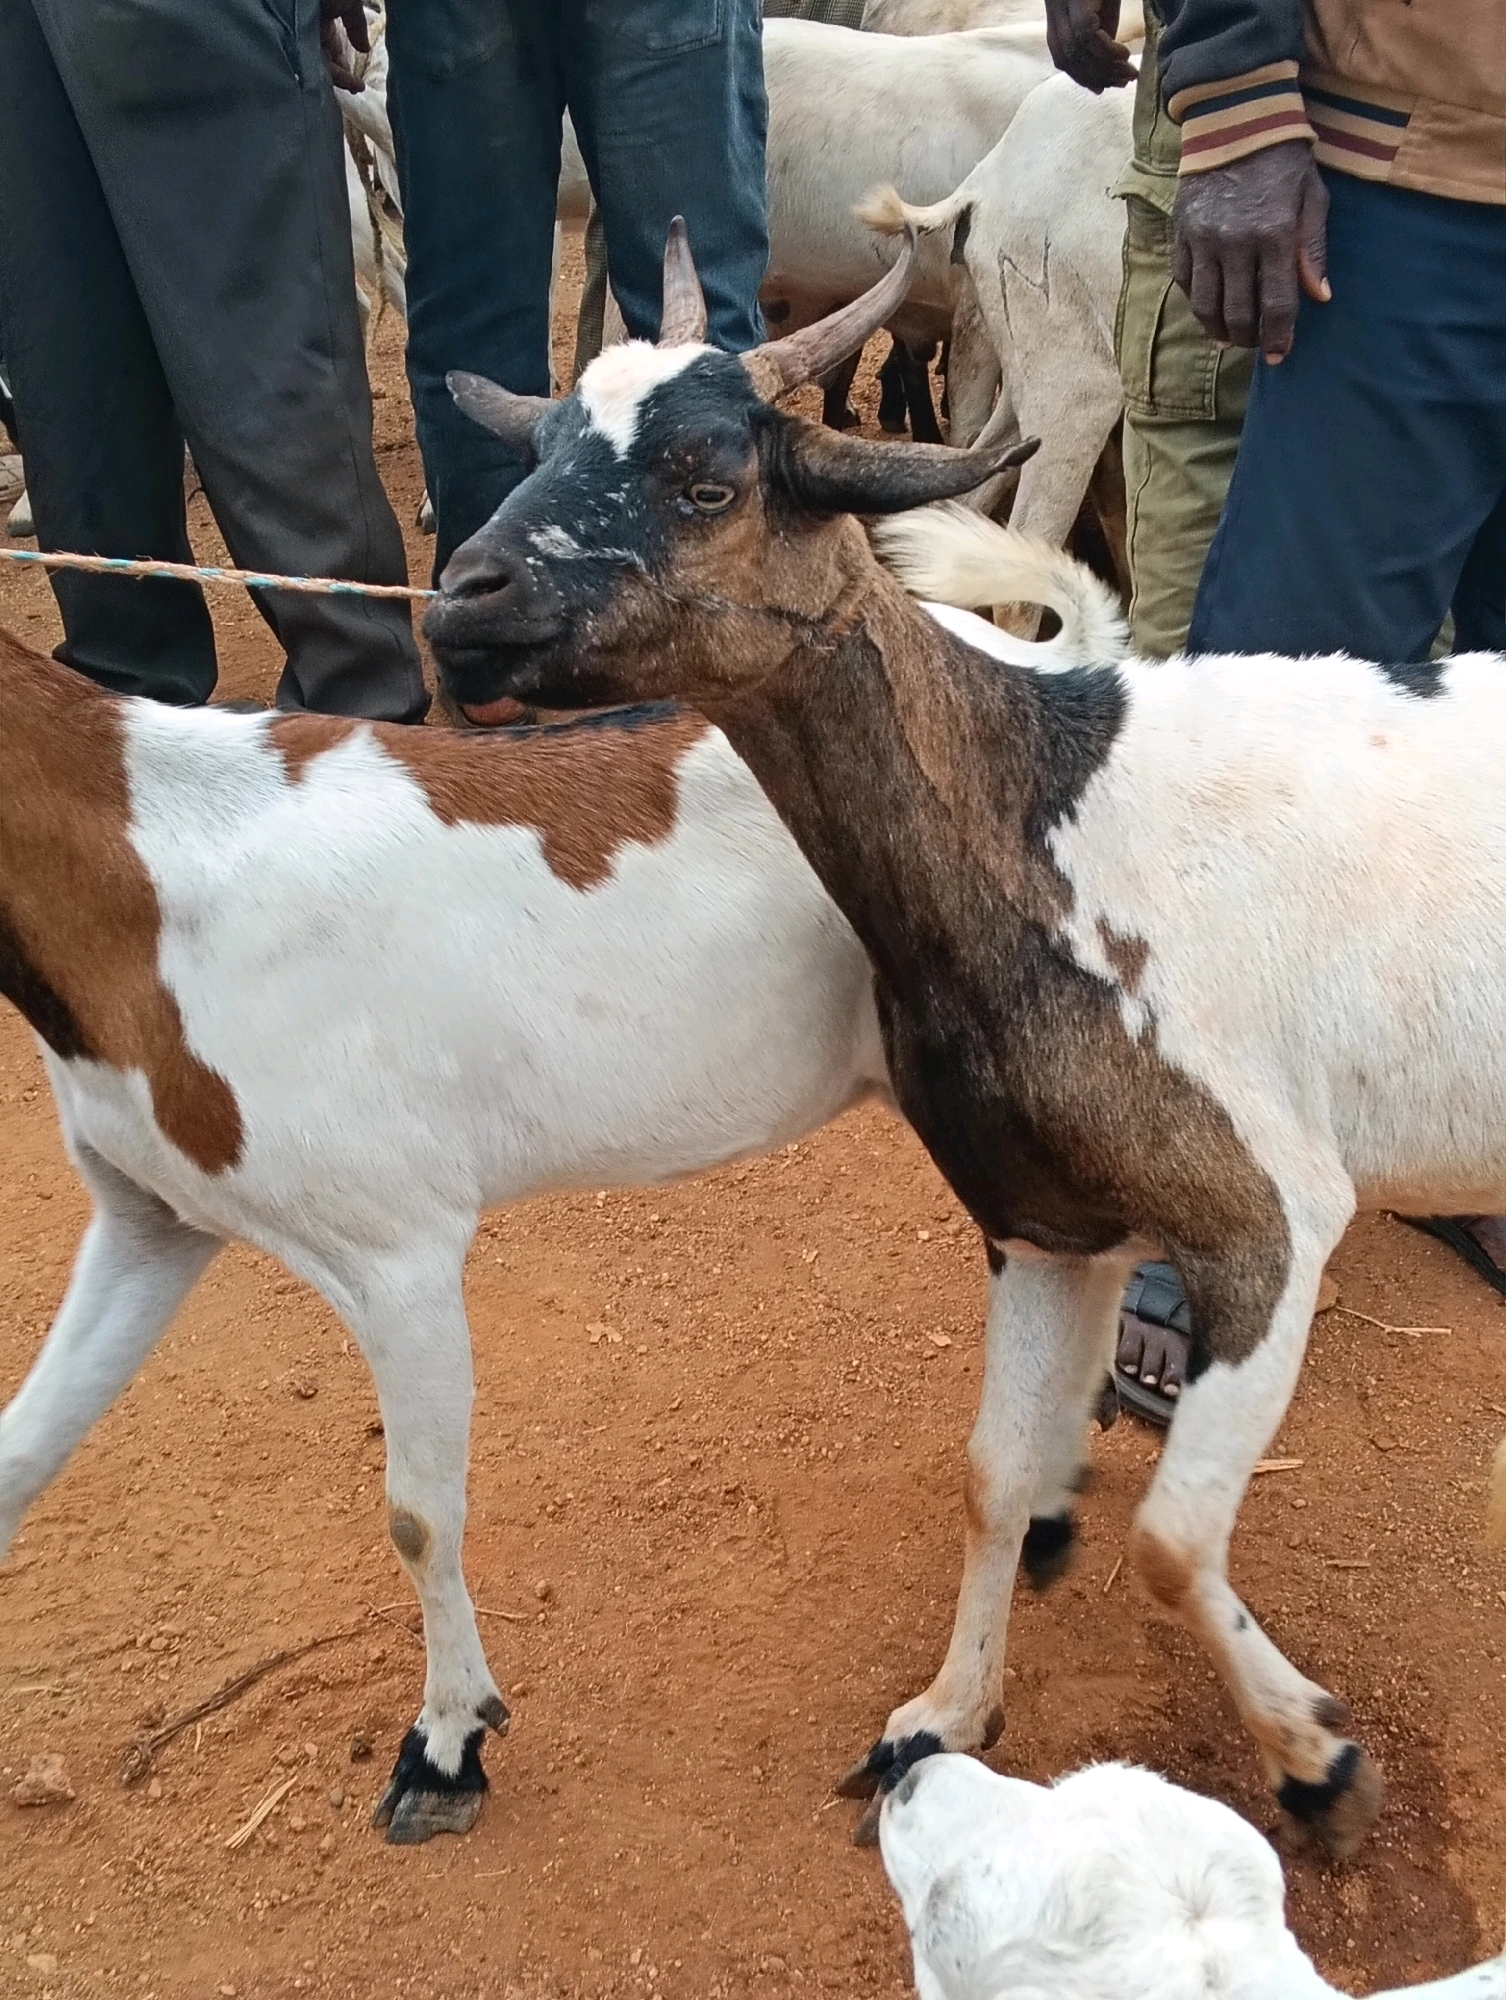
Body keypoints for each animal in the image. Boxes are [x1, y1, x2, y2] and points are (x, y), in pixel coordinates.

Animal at [427, 221, 1506, 1860]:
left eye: (705, 477)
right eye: (541, 442)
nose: (462, 599)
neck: (1040, 808)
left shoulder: (1266, 1219)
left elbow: (1171, 1543)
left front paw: (1317, 1756)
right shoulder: (1041, 1220)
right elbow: (994, 1477)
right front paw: (943, 1711)